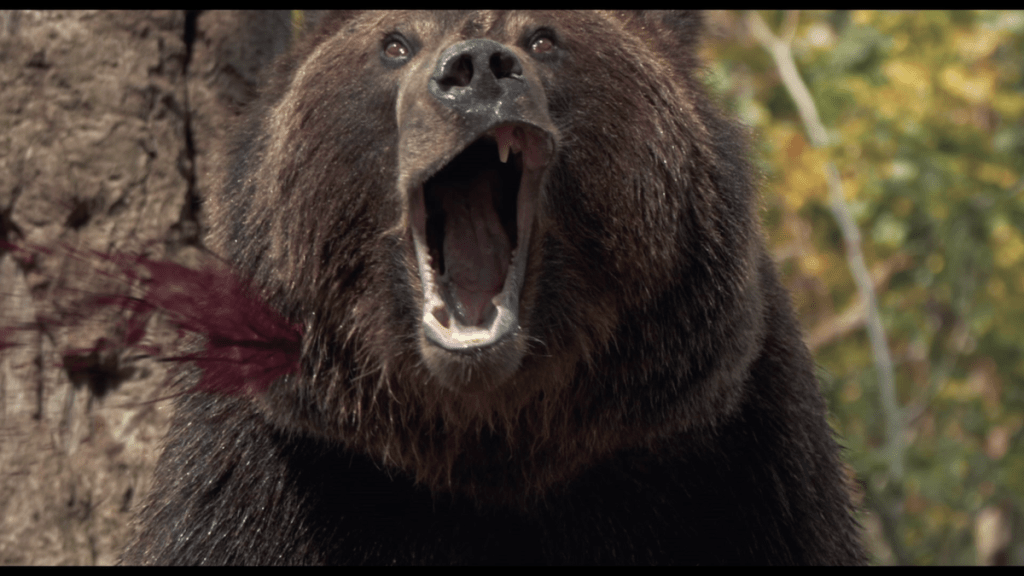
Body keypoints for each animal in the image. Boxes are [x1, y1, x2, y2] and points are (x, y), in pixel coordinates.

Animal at [121, 10, 866, 565]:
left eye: (542, 37)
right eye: (395, 42)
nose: (476, 70)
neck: (491, 438)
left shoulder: (741, 473)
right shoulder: (279, 479)